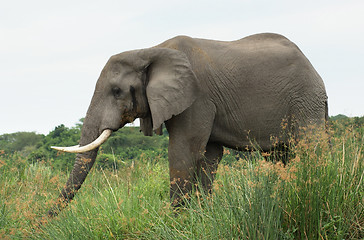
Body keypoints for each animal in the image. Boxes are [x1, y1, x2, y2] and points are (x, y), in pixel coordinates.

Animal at [47, 32, 328, 217]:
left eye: (117, 92)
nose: (42, 221)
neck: (150, 50)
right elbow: (209, 154)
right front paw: (201, 216)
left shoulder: (197, 97)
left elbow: (184, 150)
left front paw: (175, 221)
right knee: (281, 156)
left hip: (306, 99)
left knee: (309, 148)